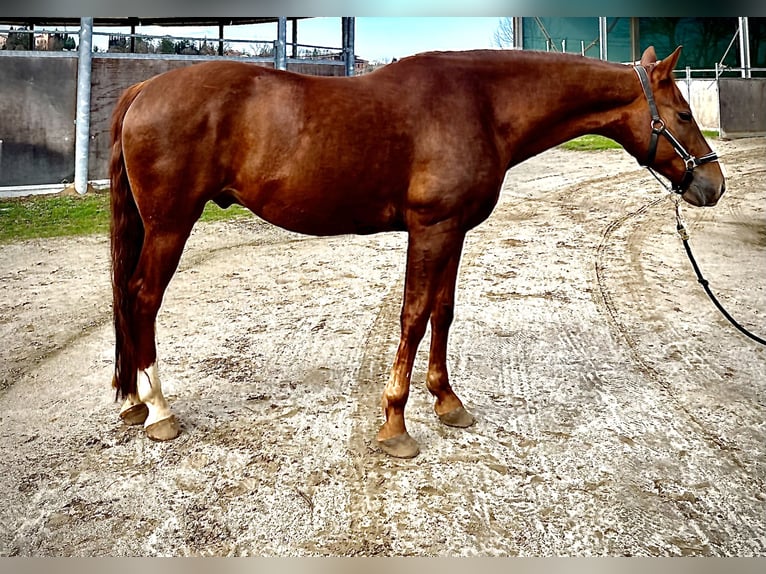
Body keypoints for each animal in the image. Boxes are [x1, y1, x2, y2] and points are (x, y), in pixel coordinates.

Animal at [109, 45, 725, 458]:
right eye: (683, 114)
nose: (712, 184)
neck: (481, 105)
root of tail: (144, 90)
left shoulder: (454, 231)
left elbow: (442, 313)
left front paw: (447, 402)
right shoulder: (430, 230)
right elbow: (411, 316)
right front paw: (395, 425)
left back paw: (132, 401)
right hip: (170, 227)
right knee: (141, 298)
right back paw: (158, 411)